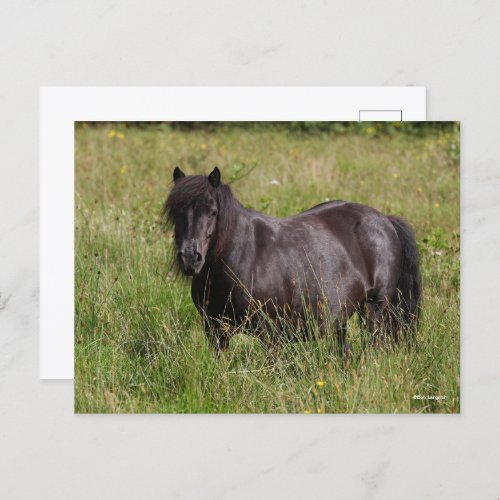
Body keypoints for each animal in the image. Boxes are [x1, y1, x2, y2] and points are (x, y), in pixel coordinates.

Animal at [162, 168, 420, 356]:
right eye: (175, 212)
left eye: (213, 212)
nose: (190, 258)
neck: (242, 258)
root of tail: (384, 220)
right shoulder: (216, 331)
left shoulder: (269, 334)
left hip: (375, 309)